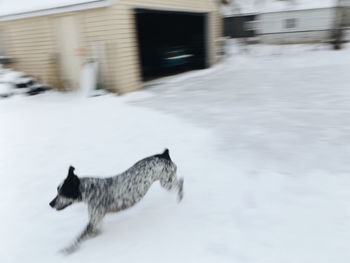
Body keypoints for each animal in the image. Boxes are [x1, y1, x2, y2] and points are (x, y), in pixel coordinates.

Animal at [50, 148, 185, 254]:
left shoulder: (93, 223)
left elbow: (77, 239)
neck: (91, 189)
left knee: (180, 182)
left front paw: (67, 250)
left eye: (62, 192)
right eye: (57, 190)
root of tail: (164, 154)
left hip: (166, 183)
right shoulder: (96, 225)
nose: (50, 204)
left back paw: (180, 197)